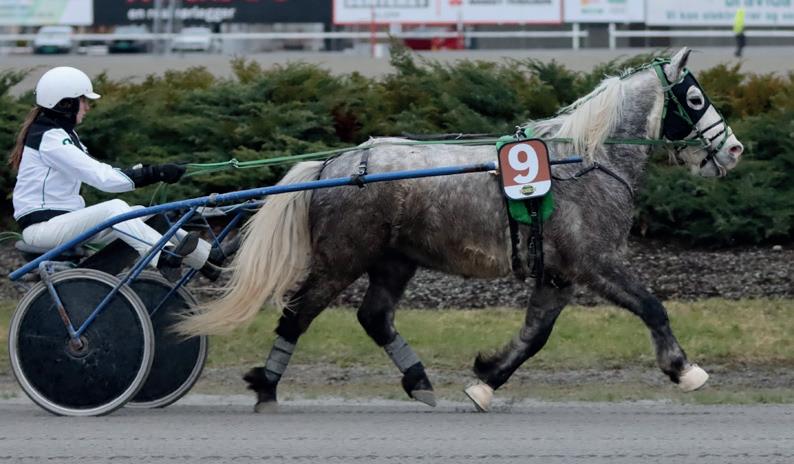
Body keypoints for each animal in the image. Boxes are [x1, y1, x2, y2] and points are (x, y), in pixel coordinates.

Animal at [176, 47, 744, 412]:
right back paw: (266, 386)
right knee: (298, 314)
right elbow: (651, 307)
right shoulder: (594, 262)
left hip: (394, 260)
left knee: (374, 317)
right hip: (342, 258)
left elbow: (535, 334)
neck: (585, 161)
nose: (735, 149)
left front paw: (487, 381)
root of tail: (335, 164)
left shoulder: (559, 273)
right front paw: (684, 369)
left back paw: (418, 380)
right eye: (695, 100)